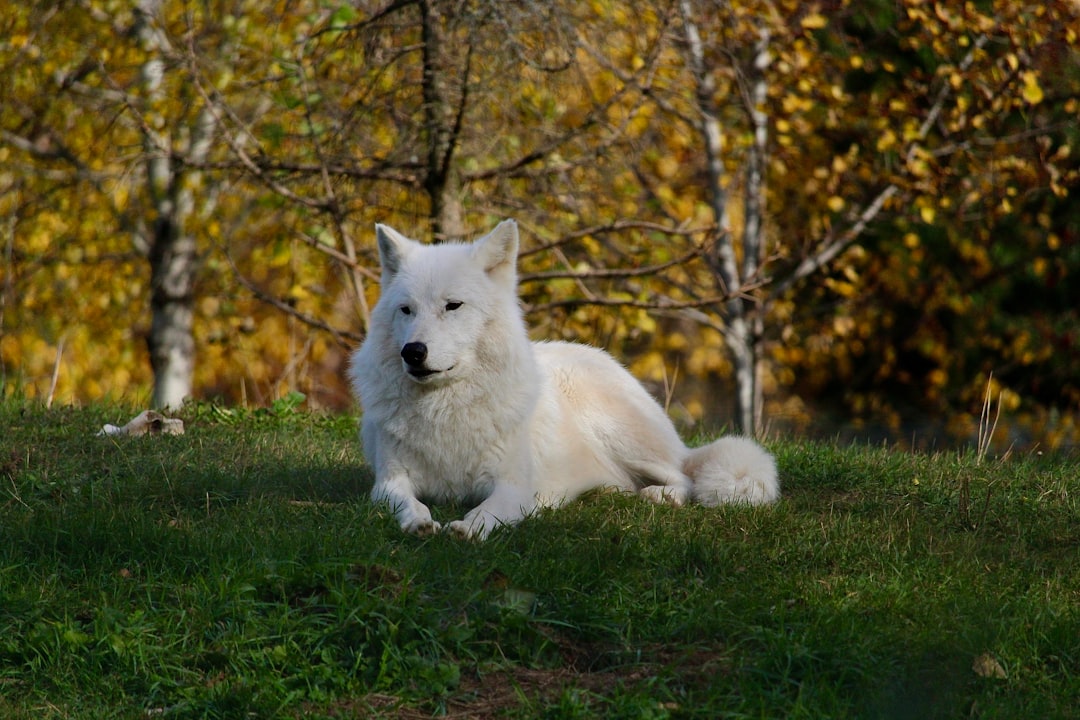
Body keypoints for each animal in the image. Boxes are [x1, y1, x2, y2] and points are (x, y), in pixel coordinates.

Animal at [349, 222, 781, 537]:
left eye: (452, 306)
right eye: (406, 310)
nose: (413, 352)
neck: (446, 411)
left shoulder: (513, 486)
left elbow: (487, 510)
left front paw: (467, 528)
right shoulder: (387, 482)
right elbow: (406, 501)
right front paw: (419, 522)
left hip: (621, 434)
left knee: (686, 476)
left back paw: (663, 495)